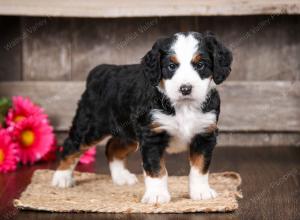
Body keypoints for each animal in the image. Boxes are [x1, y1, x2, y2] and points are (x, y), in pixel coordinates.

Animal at [52, 31, 233, 205]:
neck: (184, 107)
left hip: (128, 132)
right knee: (72, 145)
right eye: (171, 66)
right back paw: (62, 178)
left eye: (200, 65)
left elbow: (200, 168)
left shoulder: (204, 134)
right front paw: (157, 195)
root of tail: (101, 70)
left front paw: (201, 192)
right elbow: (157, 170)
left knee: (112, 147)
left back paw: (121, 177)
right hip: (92, 125)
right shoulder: (152, 136)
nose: (185, 89)